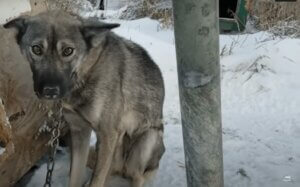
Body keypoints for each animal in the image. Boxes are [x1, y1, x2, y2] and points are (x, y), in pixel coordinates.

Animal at [3, 10, 165, 187]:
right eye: (36, 49)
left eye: (68, 51)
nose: (50, 91)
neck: (86, 70)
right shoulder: (80, 131)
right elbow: (75, 175)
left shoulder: (108, 134)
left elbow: (97, 180)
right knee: (112, 170)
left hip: (145, 142)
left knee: (137, 176)